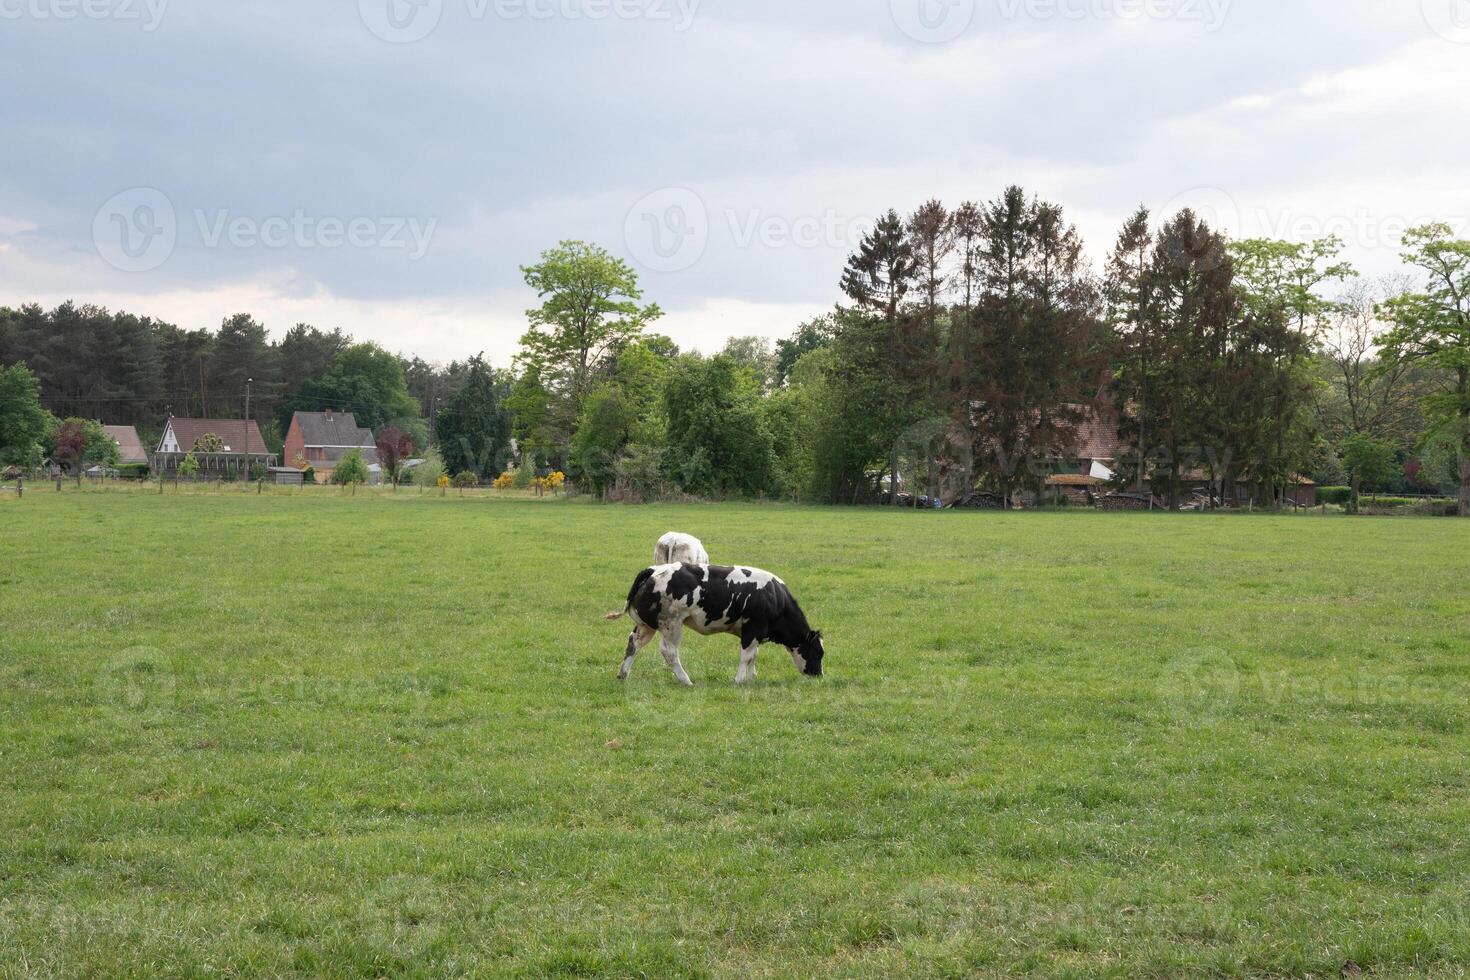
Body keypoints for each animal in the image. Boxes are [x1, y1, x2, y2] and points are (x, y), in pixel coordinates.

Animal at [602, 564, 823, 687]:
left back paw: (623, 674)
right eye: (818, 653)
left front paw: (752, 676)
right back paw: (686, 681)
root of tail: (654, 569)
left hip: (646, 625)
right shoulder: (753, 630)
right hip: (672, 624)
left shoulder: (756, 634)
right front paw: (740, 680)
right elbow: (747, 656)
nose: (819, 675)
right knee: (669, 652)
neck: (774, 596)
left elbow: (754, 655)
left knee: (633, 644)